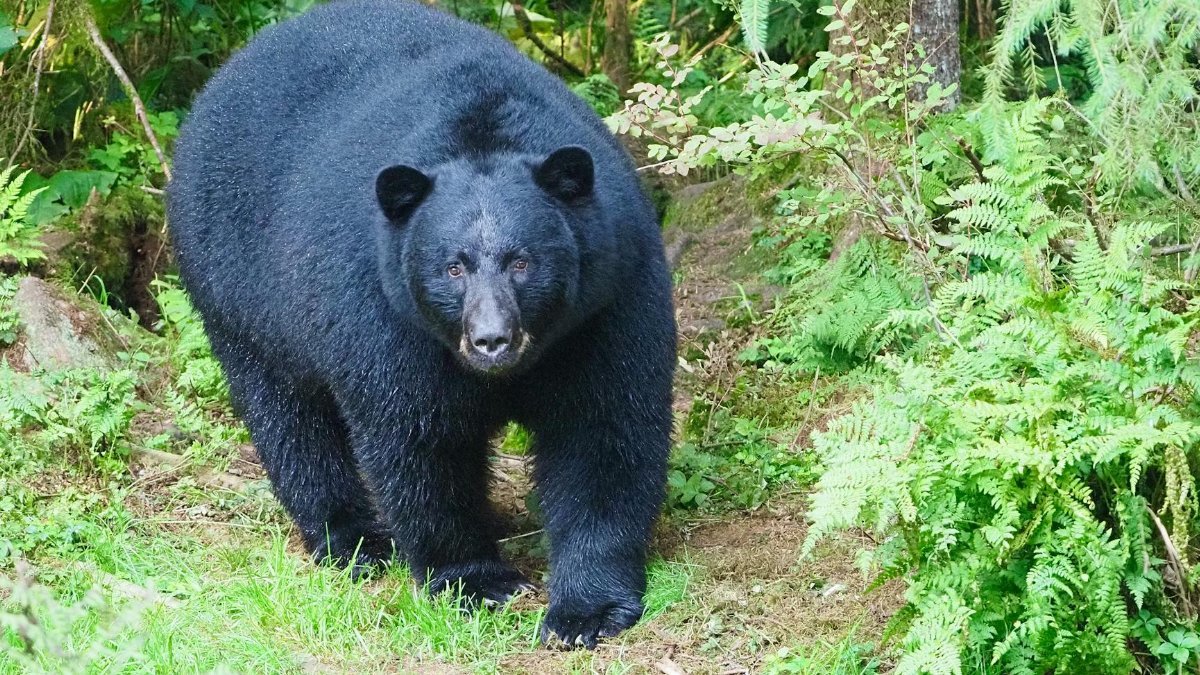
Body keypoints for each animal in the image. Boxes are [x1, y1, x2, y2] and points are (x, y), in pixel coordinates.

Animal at [166, 0, 675, 649]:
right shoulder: (384, 315)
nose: (491, 340)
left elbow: (603, 429)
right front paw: (476, 581)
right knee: (289, 420)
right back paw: (352, 540)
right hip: (238, 294)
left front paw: (588, 609)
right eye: (452, 266)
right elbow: (419, 442)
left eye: (522, 261)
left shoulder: (608, 301)